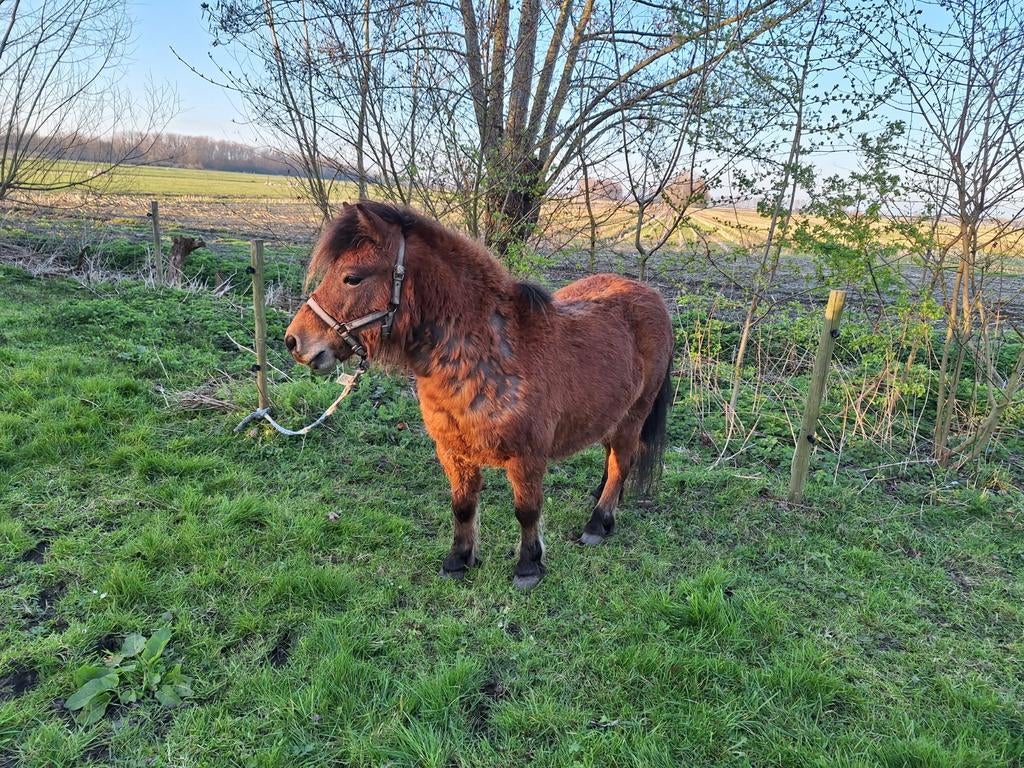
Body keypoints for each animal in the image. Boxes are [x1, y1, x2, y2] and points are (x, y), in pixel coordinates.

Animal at [285, 201, 674, 589]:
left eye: (352, 277)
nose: (294, 341)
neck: (489, 355)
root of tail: (650, 295)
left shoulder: (528, 457)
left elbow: (526, 510)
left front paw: (528, 566)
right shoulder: (453, 451)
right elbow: (462, 506)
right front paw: (458, 559)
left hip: (634, 415)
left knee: (621, 463)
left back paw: (598, 522)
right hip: (611, 414)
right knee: (613, 459)